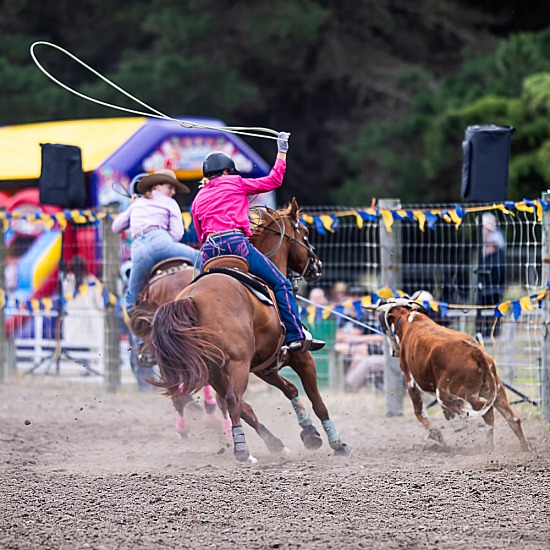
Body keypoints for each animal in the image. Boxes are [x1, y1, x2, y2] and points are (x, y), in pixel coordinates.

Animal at [149, 201, 352, 464]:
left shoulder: (265, 366)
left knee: (240, 405)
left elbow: (290, 388)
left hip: (214, 371)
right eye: (305, 233)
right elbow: (317, 401)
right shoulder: (302, 358)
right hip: (237, 364)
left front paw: (309, 432)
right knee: (234, 400)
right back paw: (243, 452)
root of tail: (191, 298)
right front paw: (337, 443)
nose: (317, 266)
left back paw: (275, 445)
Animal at [380, 302, 532, 452]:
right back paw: (525, 447)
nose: (392, 352)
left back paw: (489, 448)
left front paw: (435, 434)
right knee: (512, 418)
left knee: (486, 411)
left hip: (452, 394)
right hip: (495, 390)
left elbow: (419, 411)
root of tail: (475, 352)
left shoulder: (410, 381)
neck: (407, 320)